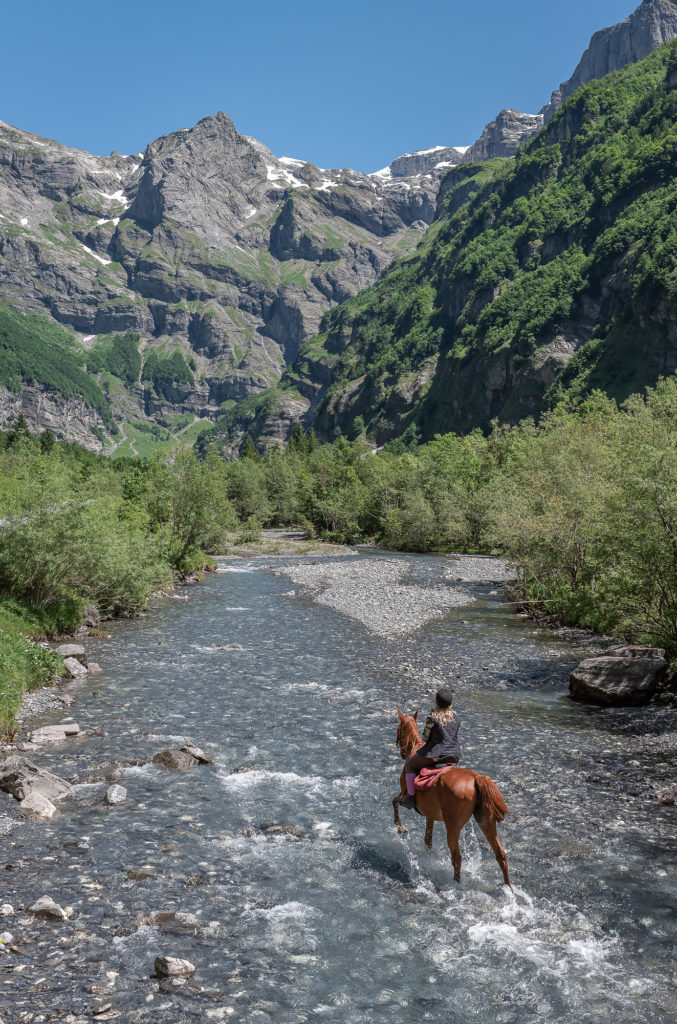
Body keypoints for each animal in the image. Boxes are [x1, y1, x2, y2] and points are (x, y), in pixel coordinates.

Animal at [391, 708, 512, 884]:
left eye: (399, 729)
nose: (401, 753)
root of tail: (476, 778)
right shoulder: (430, 814)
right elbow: (428, 840)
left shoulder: (403, 795)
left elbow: (394, 802)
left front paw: (401, 829)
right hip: (486, 821)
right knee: (500, 855)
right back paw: (508, 887)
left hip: (453, 827)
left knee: (456, 858)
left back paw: (456, 884)